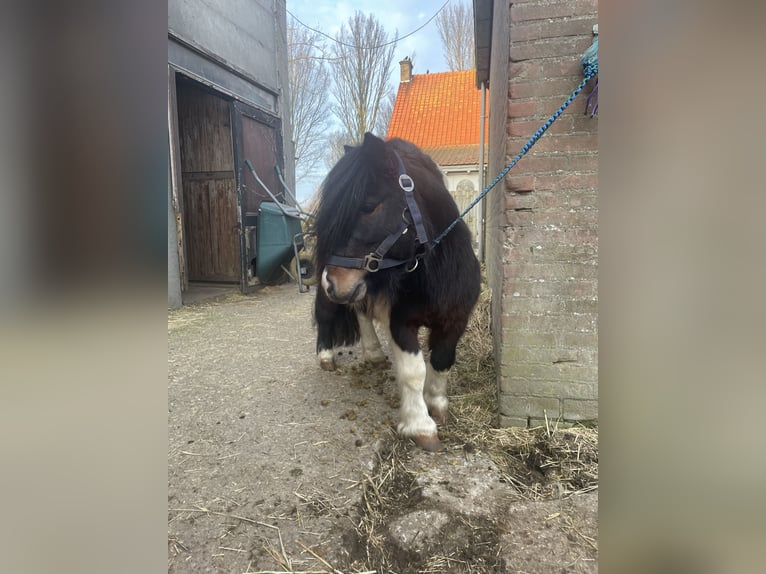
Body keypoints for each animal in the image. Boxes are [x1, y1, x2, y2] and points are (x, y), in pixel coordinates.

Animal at [311, 132, 480, 452]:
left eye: (368, 206)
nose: (333, 282)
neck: (435, 272)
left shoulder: (455, 320)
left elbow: (441, 360)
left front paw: (437, 404)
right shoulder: (401, 322)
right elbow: (414, 372)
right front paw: (420, 426)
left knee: (360, 311)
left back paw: (374, 353)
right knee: (328, 315)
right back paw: (326, 357)